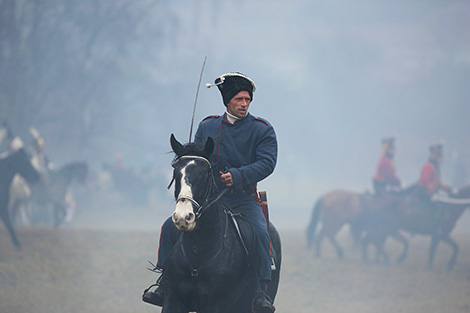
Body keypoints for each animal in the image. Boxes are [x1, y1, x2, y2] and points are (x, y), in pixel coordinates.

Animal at [160, 135, 280, 312]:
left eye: (204, 175)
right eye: (176, 173)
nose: (183, 217)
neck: (199, 250)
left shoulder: (215, 304)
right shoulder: (173, 300)